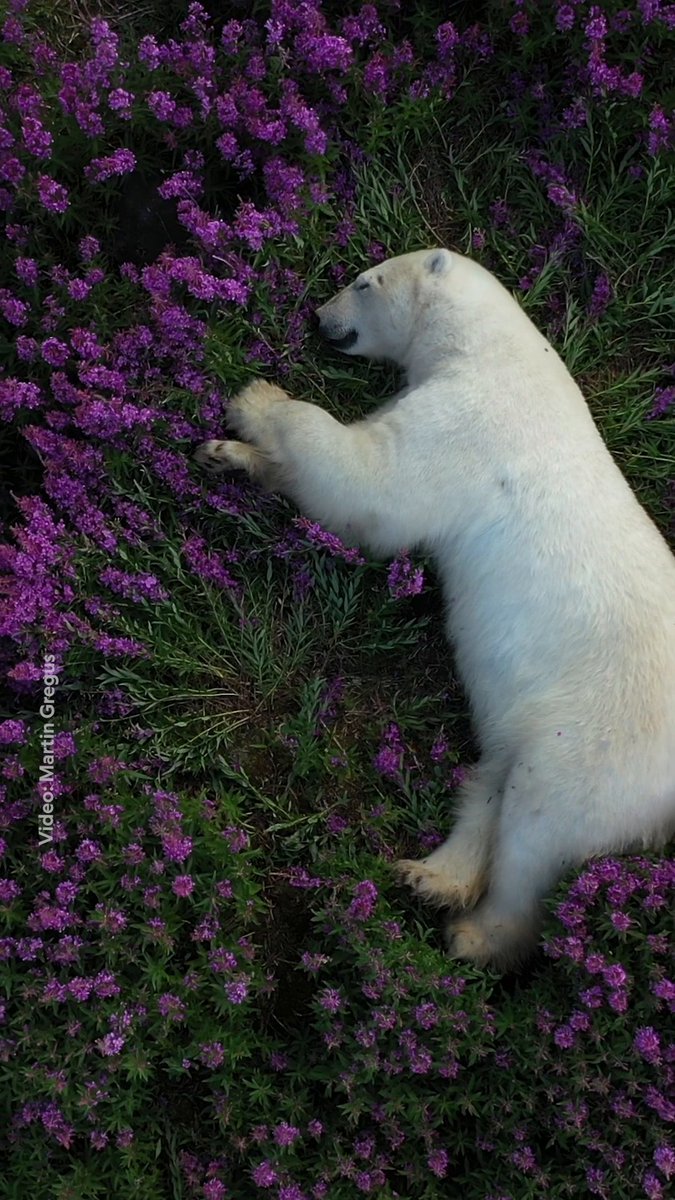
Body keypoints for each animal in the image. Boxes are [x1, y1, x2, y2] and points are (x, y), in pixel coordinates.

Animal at [195, 247, 675, 970]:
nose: (318, 316)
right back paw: (428, 876)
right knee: (490, 781)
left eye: (364, 282)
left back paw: (474, 934)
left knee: (540, 824)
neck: (492, 347)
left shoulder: (469, 421)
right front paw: (226, 454)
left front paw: (255, 400)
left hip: (603, 740)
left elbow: (372, 482)